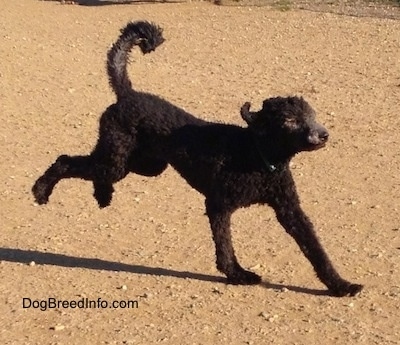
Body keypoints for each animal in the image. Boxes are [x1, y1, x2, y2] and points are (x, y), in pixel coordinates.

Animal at [31, 20, 362, 296]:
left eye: (312, 115)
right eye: (290, 120)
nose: (323, 134)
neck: (257, 154)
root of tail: (128, 94)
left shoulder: (290, 210)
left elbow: (316, 251)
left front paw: (340, 285)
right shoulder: (218, 205)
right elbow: (225, 247)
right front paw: (238, 275)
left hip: (144, 164)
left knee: (93, 168)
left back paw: (102, 194)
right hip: (118, 160)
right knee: (66, 160)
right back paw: (42, 190)